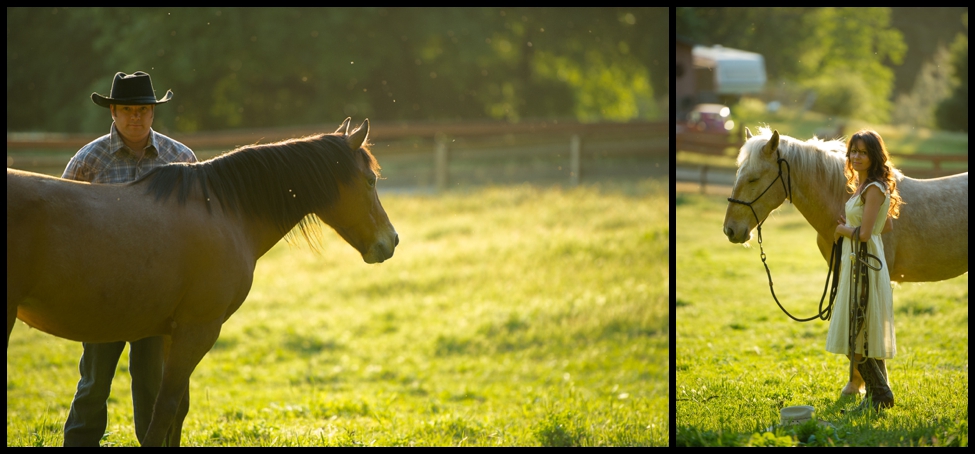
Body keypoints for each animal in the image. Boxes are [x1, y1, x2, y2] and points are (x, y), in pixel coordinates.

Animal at [6, 118, 396, 446]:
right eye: (371, 180)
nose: (390, 241)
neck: (225, 211)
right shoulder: (198, 330)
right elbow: (165, 408)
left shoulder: (171, 332)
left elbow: (176, 410)